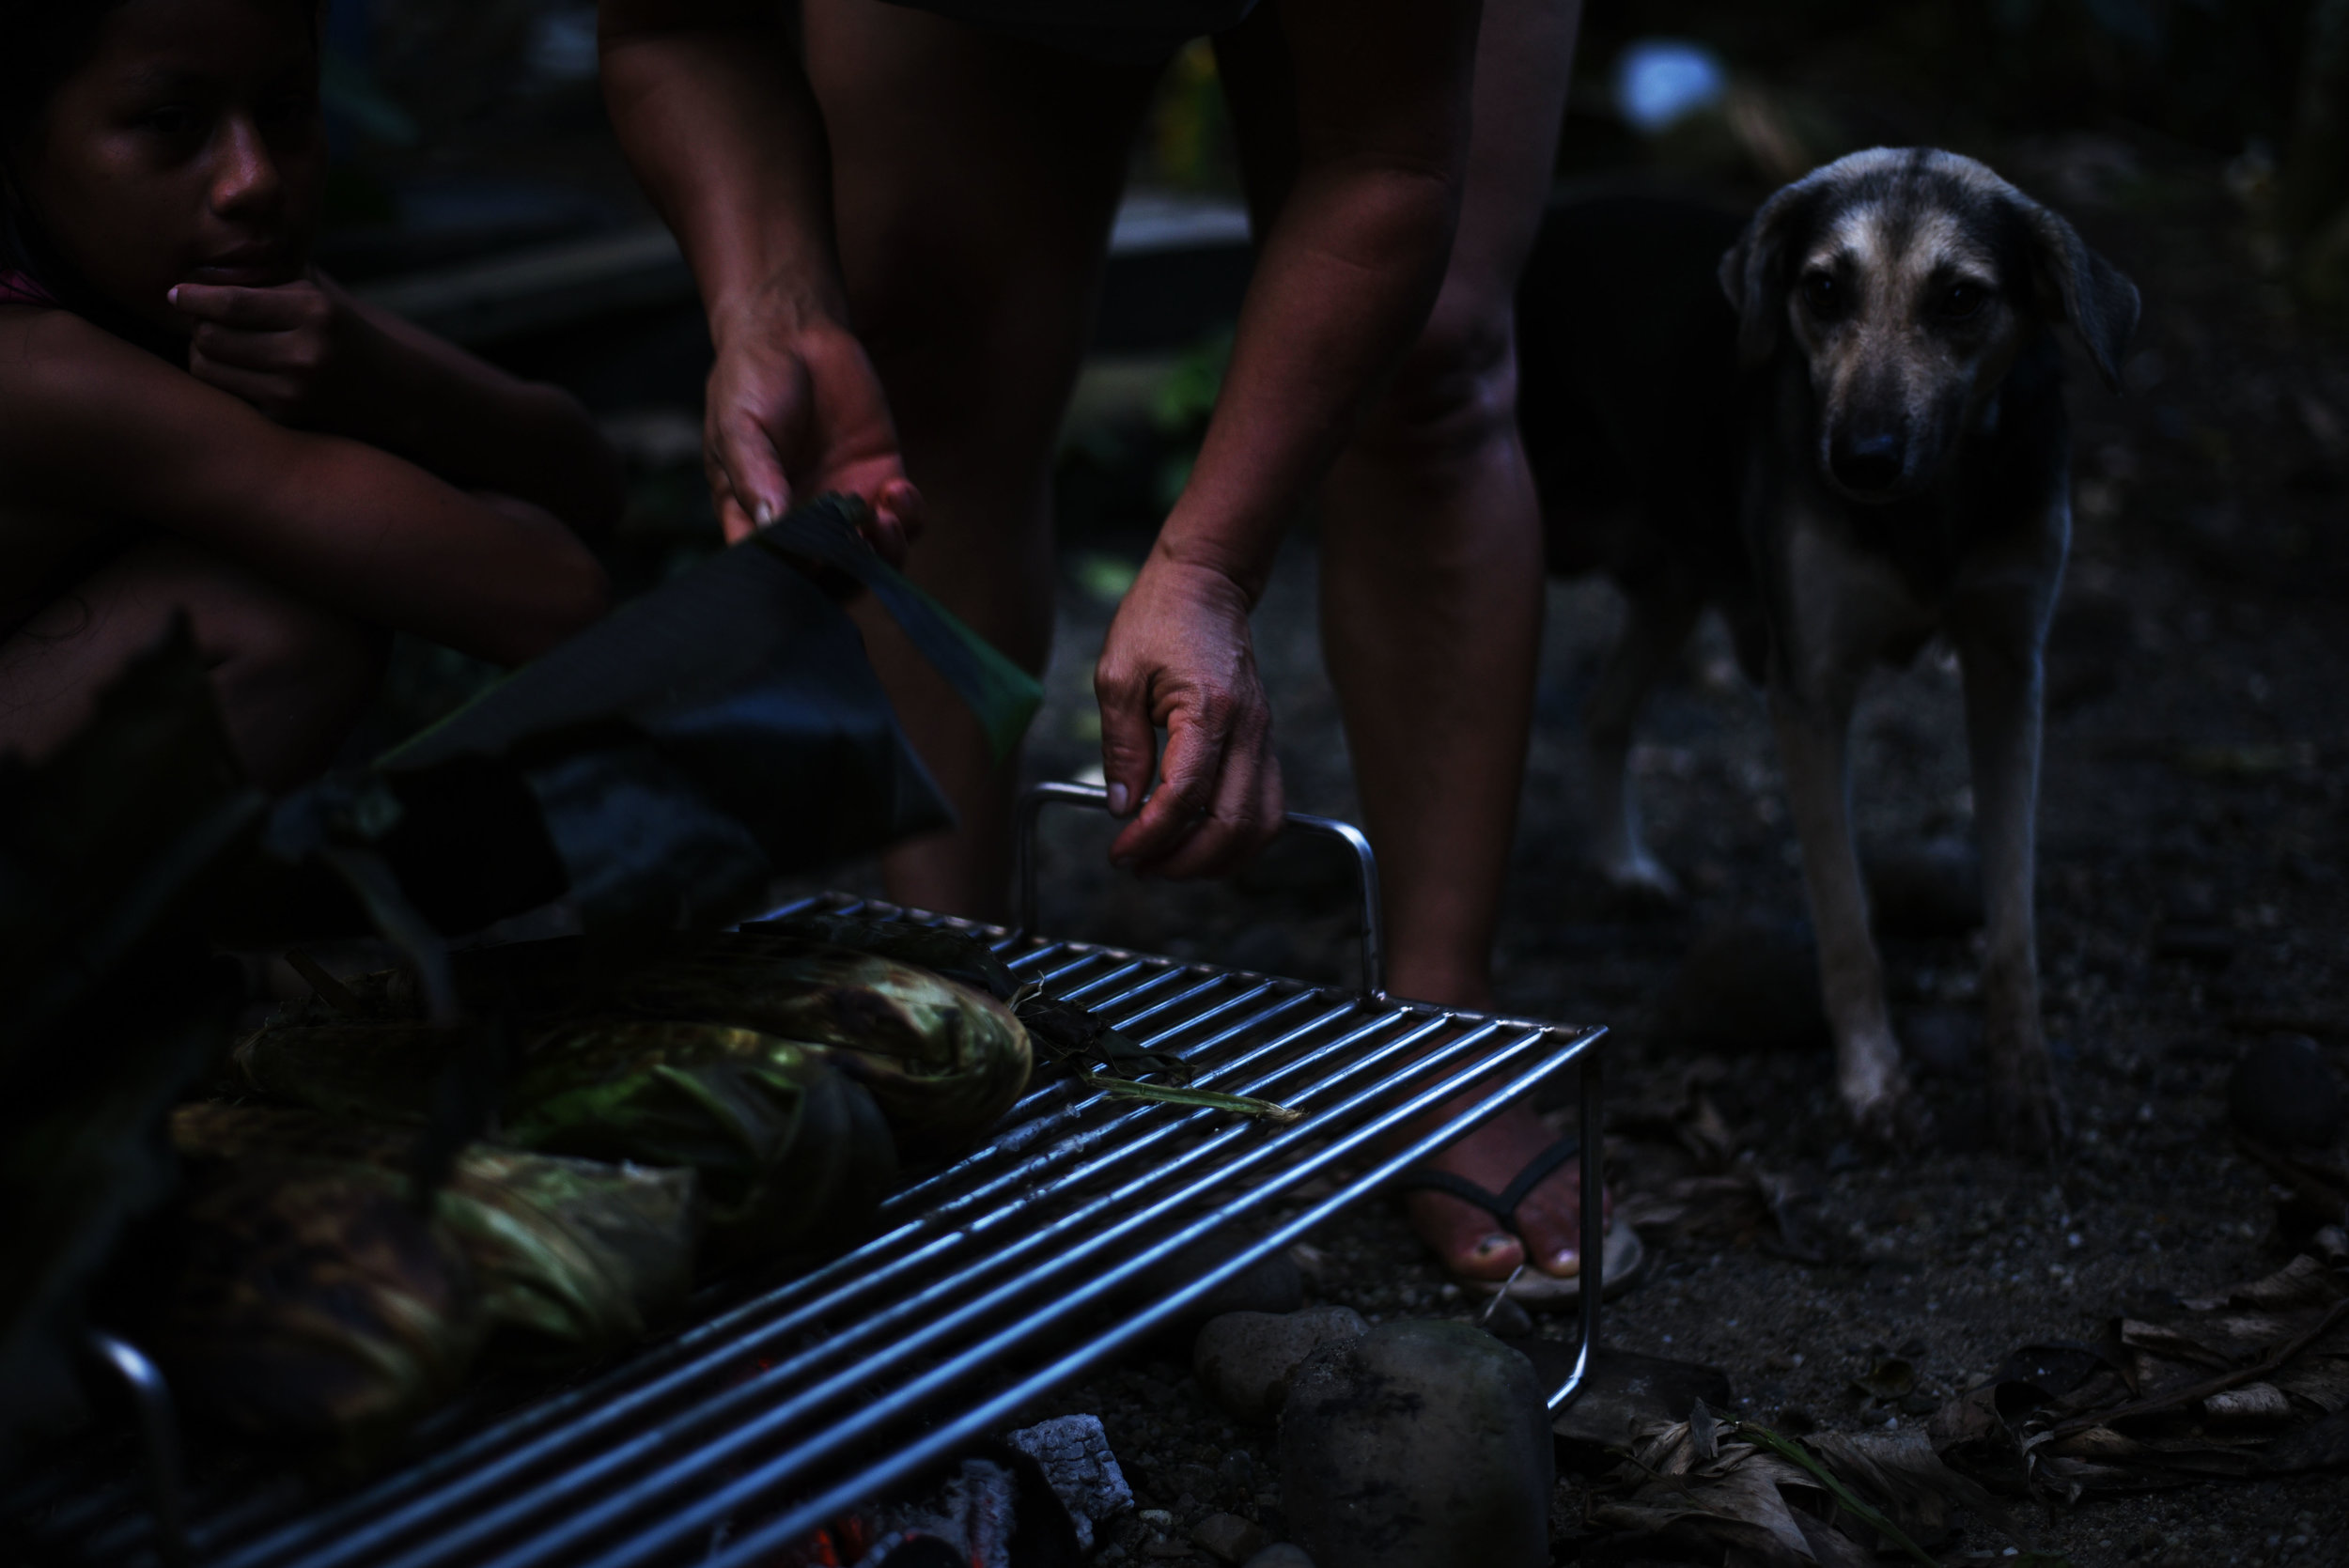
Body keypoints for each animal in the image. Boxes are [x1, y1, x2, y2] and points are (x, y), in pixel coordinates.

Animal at [1513, 149, 2142, 1150]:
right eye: (1822, 289)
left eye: (1960, 298)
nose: (1860, 460)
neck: (1931, 505)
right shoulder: (1809, 690)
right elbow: (1847, 923)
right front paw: (1873, 1081)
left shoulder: (2010, 669)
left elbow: (2012, 916)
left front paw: (2024, 1079)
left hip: (1675, 580)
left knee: (1604, 712)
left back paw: (1622, 864)